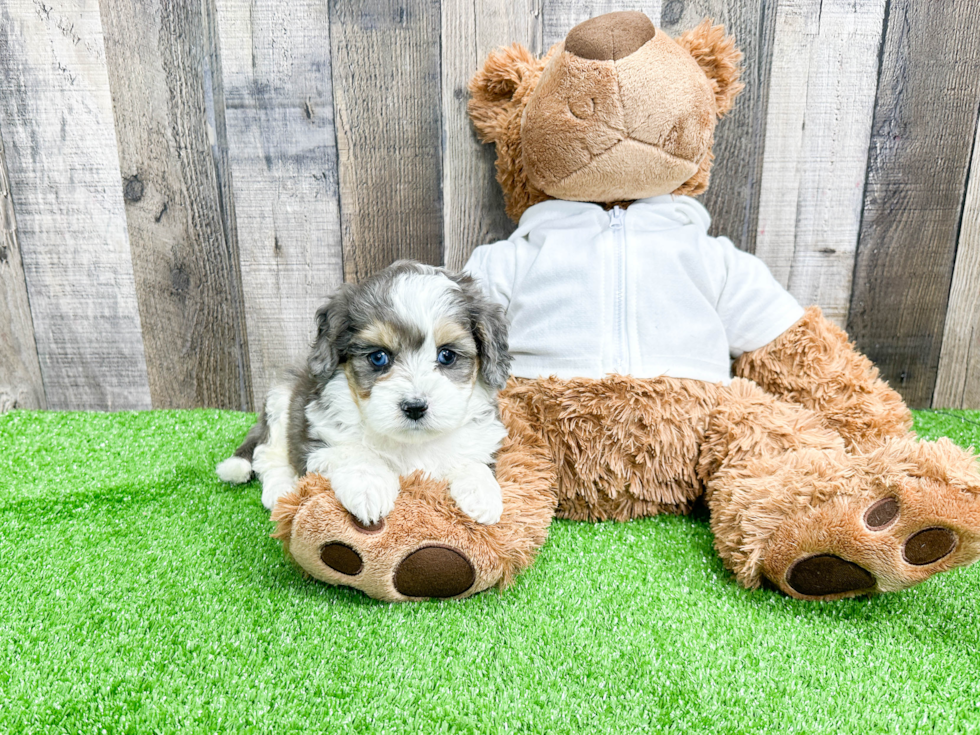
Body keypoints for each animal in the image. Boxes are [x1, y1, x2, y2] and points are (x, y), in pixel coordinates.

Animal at [216, 262, 512, 528]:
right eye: (379, 357)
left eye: (447, 355)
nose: (415, 407)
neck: (411, 444)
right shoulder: (322, 439)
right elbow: (355, 453)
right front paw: (369, 488)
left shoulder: (480, 436)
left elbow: (473, 458)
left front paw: (482, 491)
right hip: (280, 402)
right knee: (267, 454)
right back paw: (282, 490)